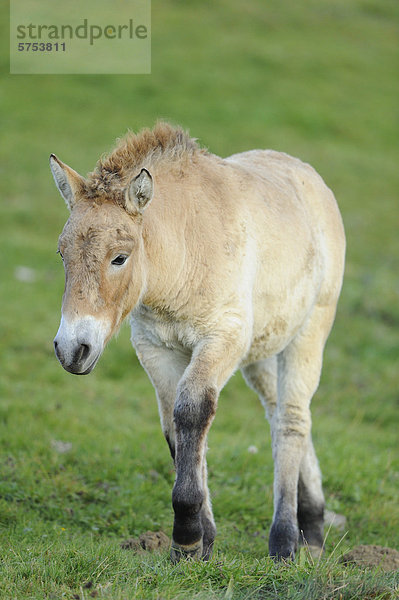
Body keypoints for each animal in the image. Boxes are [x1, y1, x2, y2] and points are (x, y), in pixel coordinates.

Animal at [50, 123, 346, 564]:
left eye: (119, 257)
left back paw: (285, 541)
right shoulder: (156, 349)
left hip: (308, 333)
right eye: (62, 253)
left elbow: (192, 411)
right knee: (282, 413)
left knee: (292, 420)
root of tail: (306, 173)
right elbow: (176, 427)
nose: (73, 349)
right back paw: (311, 528)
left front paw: (187, 537)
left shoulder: (222, 338)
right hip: (261, 351)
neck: (184, 255)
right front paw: (200, 544)